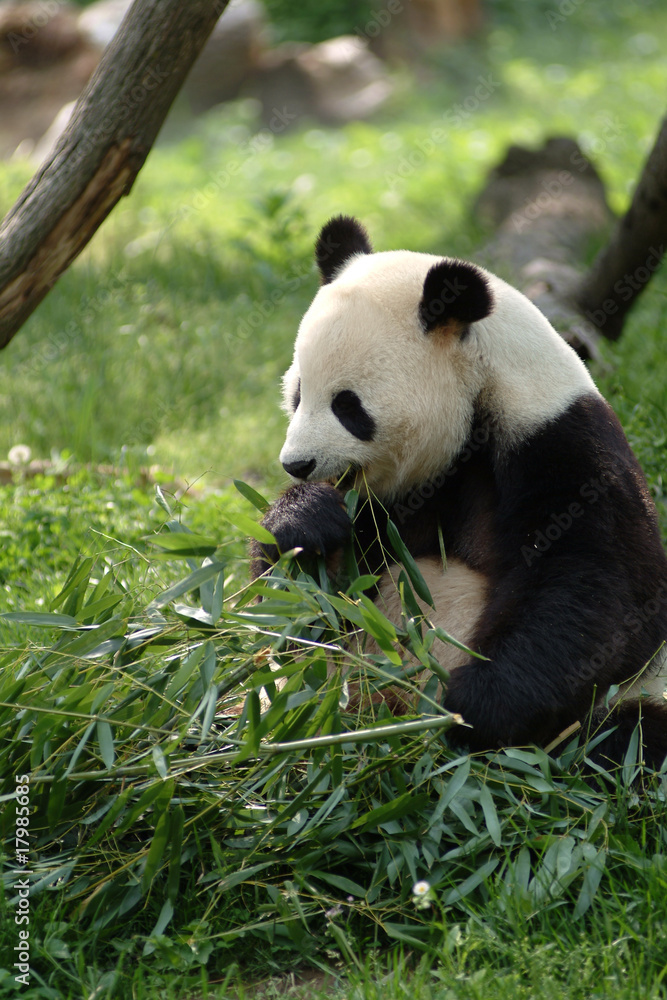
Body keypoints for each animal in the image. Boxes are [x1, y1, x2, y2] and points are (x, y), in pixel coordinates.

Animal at [254, 217, 667, 764]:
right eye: (298, 394)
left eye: (347, 405)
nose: (296, 464)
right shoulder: (384, 506)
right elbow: (299, 619)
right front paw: (305, 521)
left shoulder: (562, 447)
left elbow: (600, 588)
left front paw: (471, 707)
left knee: (629, 735)